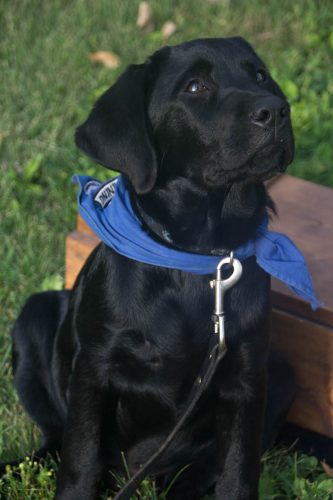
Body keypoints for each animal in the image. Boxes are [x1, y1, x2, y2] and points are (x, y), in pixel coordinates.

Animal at [9, 37, 294, 498]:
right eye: (195, 87)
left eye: (259, 76)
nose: (275, 109)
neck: (195, 257)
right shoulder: (93, 369)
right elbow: (80, 458)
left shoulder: (248, 376)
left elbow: (237, 472)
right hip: (33, 316)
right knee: (56, 437)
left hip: (281, 372)